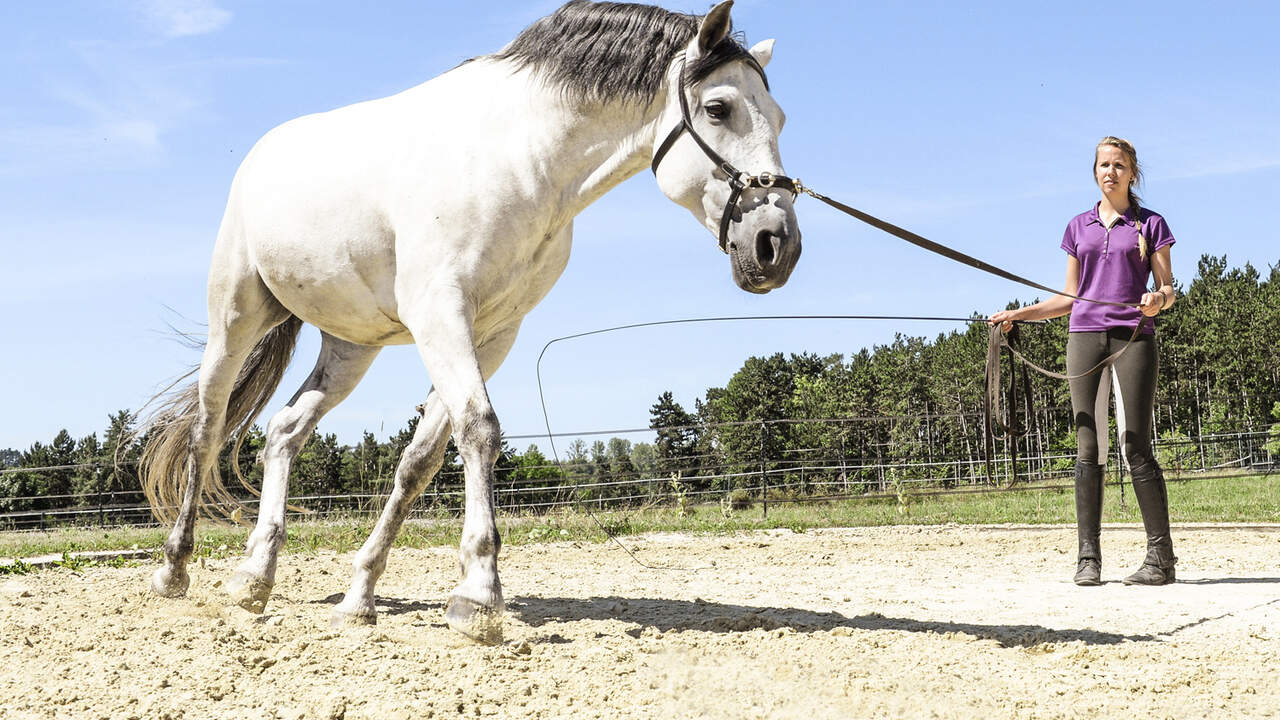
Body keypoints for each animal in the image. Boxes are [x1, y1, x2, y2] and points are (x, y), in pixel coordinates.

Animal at [140, 0, 802, 644]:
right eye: (717, 108)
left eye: (779, 116)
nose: (776, 246)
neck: (522, 158)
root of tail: (260, 157)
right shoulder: (442, 314)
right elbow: (480, 430)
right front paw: (480, 597)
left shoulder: (493, 333)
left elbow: (421, 460)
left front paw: (360, 598)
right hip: (236, 317)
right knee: (206, 430)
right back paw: (175, 570)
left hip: (353, 345)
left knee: (284, 431)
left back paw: (254, 577)